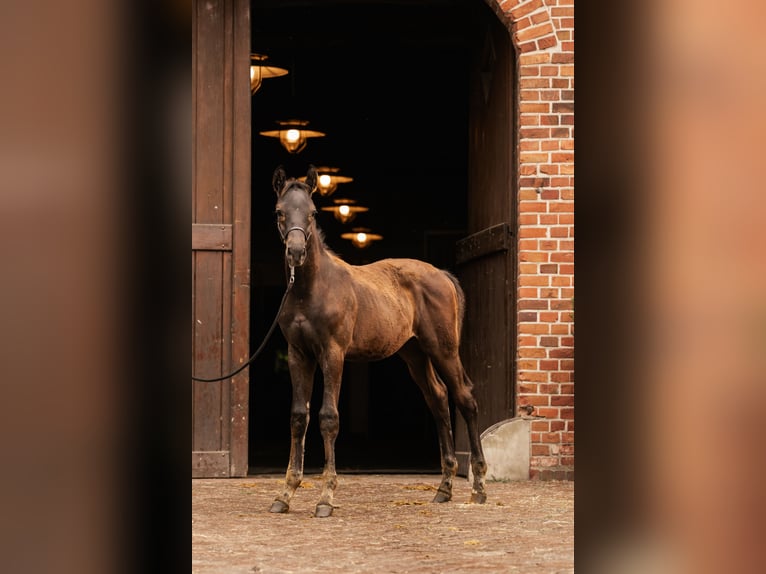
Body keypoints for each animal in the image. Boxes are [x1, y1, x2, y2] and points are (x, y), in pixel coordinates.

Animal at [270, 164, 488, 520]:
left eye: (313, 212)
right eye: (279, 211)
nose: (297, 252)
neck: (310, 288)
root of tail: (443, 275)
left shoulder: (333, 353)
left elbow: (328, 418)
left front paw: (326, 498)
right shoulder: (298, 354)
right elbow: (298, 418)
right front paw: (285, 494)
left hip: (443, 350)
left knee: (464, 397)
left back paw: (479, 486)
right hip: (414, 354)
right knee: (439, 399)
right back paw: (443, 489)